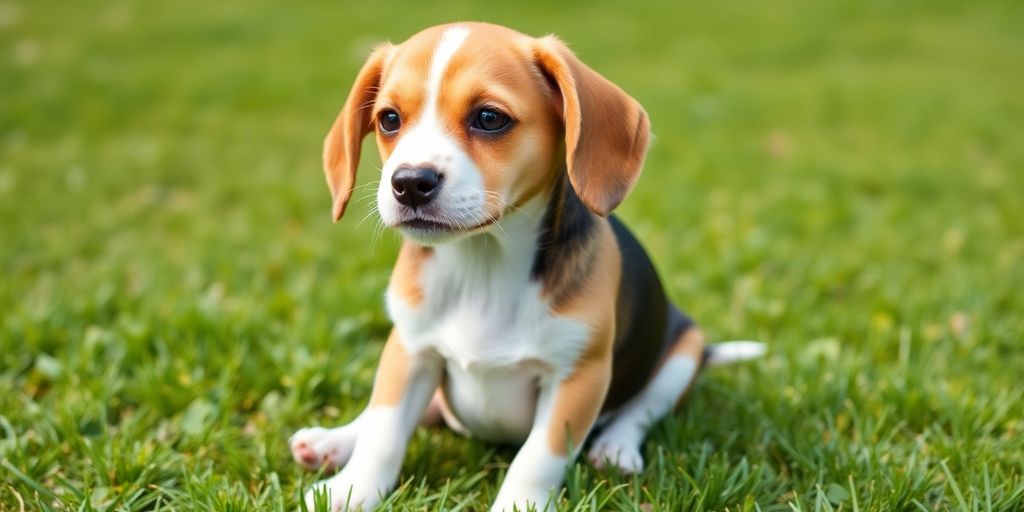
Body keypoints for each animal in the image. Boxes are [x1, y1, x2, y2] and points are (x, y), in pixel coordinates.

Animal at [288, 22, 761, 509]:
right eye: (389, 119)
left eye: (489, 118)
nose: (410, 182)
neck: (483, 265)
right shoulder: (409, 350)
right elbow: (383, 431)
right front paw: (349, 491)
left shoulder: (578, 377)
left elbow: (536, 459)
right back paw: (330, 442)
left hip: (684, 350)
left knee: (642, 409)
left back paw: (617, 448)